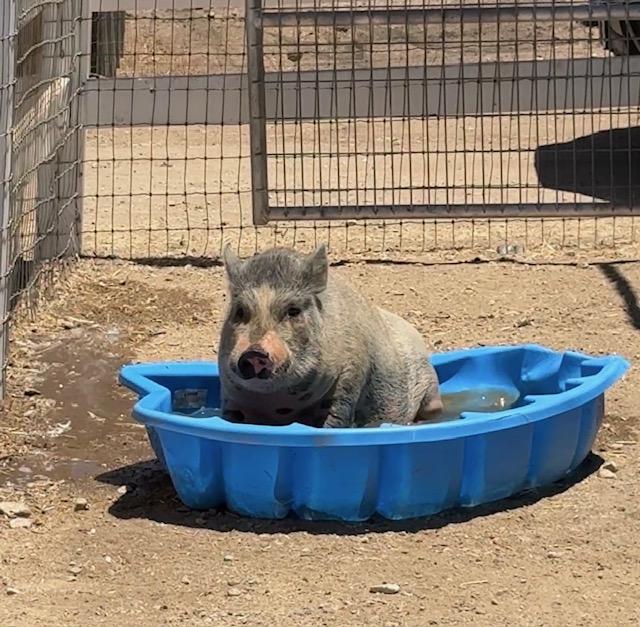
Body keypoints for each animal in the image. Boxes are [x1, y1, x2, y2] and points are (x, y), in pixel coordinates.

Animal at [218, 244, 442, 428]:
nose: (254, 353)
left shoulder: (350, 378)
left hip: (431, 389)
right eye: (240, 311)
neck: (280, 405)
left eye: (293, 311)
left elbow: (335, 420)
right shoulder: (231, 398)